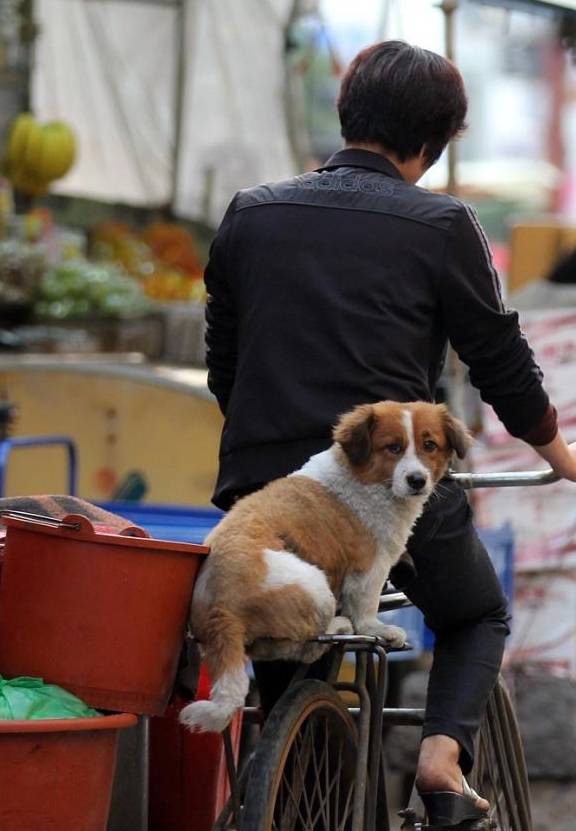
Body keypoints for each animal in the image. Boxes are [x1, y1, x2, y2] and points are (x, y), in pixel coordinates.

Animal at [182, 400, 470, 732]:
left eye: (429, 445)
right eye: (394, 448)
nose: (417, 480)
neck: (364, 479)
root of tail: (220, 610)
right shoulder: (370, 566)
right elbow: (366, 606)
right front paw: (377, 629)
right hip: (313, 584)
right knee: (306, 641)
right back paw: (338, 625)